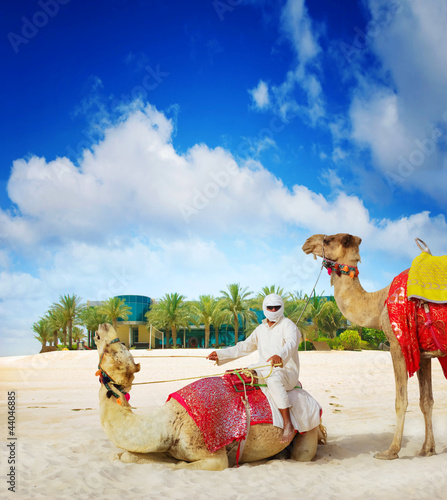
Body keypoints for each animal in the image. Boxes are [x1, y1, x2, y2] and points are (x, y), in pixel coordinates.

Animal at [95, 322, 326, 470]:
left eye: (118, 348)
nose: (102, 326)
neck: (169, 424)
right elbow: (127, 455)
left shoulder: (213, 457)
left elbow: (179, 466)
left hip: (308, 428)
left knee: (302, 454)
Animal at [302, 232, 446, 458]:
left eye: (328, 239)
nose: (307, 242)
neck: (379, 304)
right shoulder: (423, 353)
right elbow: (426, 401)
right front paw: (427, 449)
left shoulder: (398, 345)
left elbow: (401, 401)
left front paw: (391, 451)